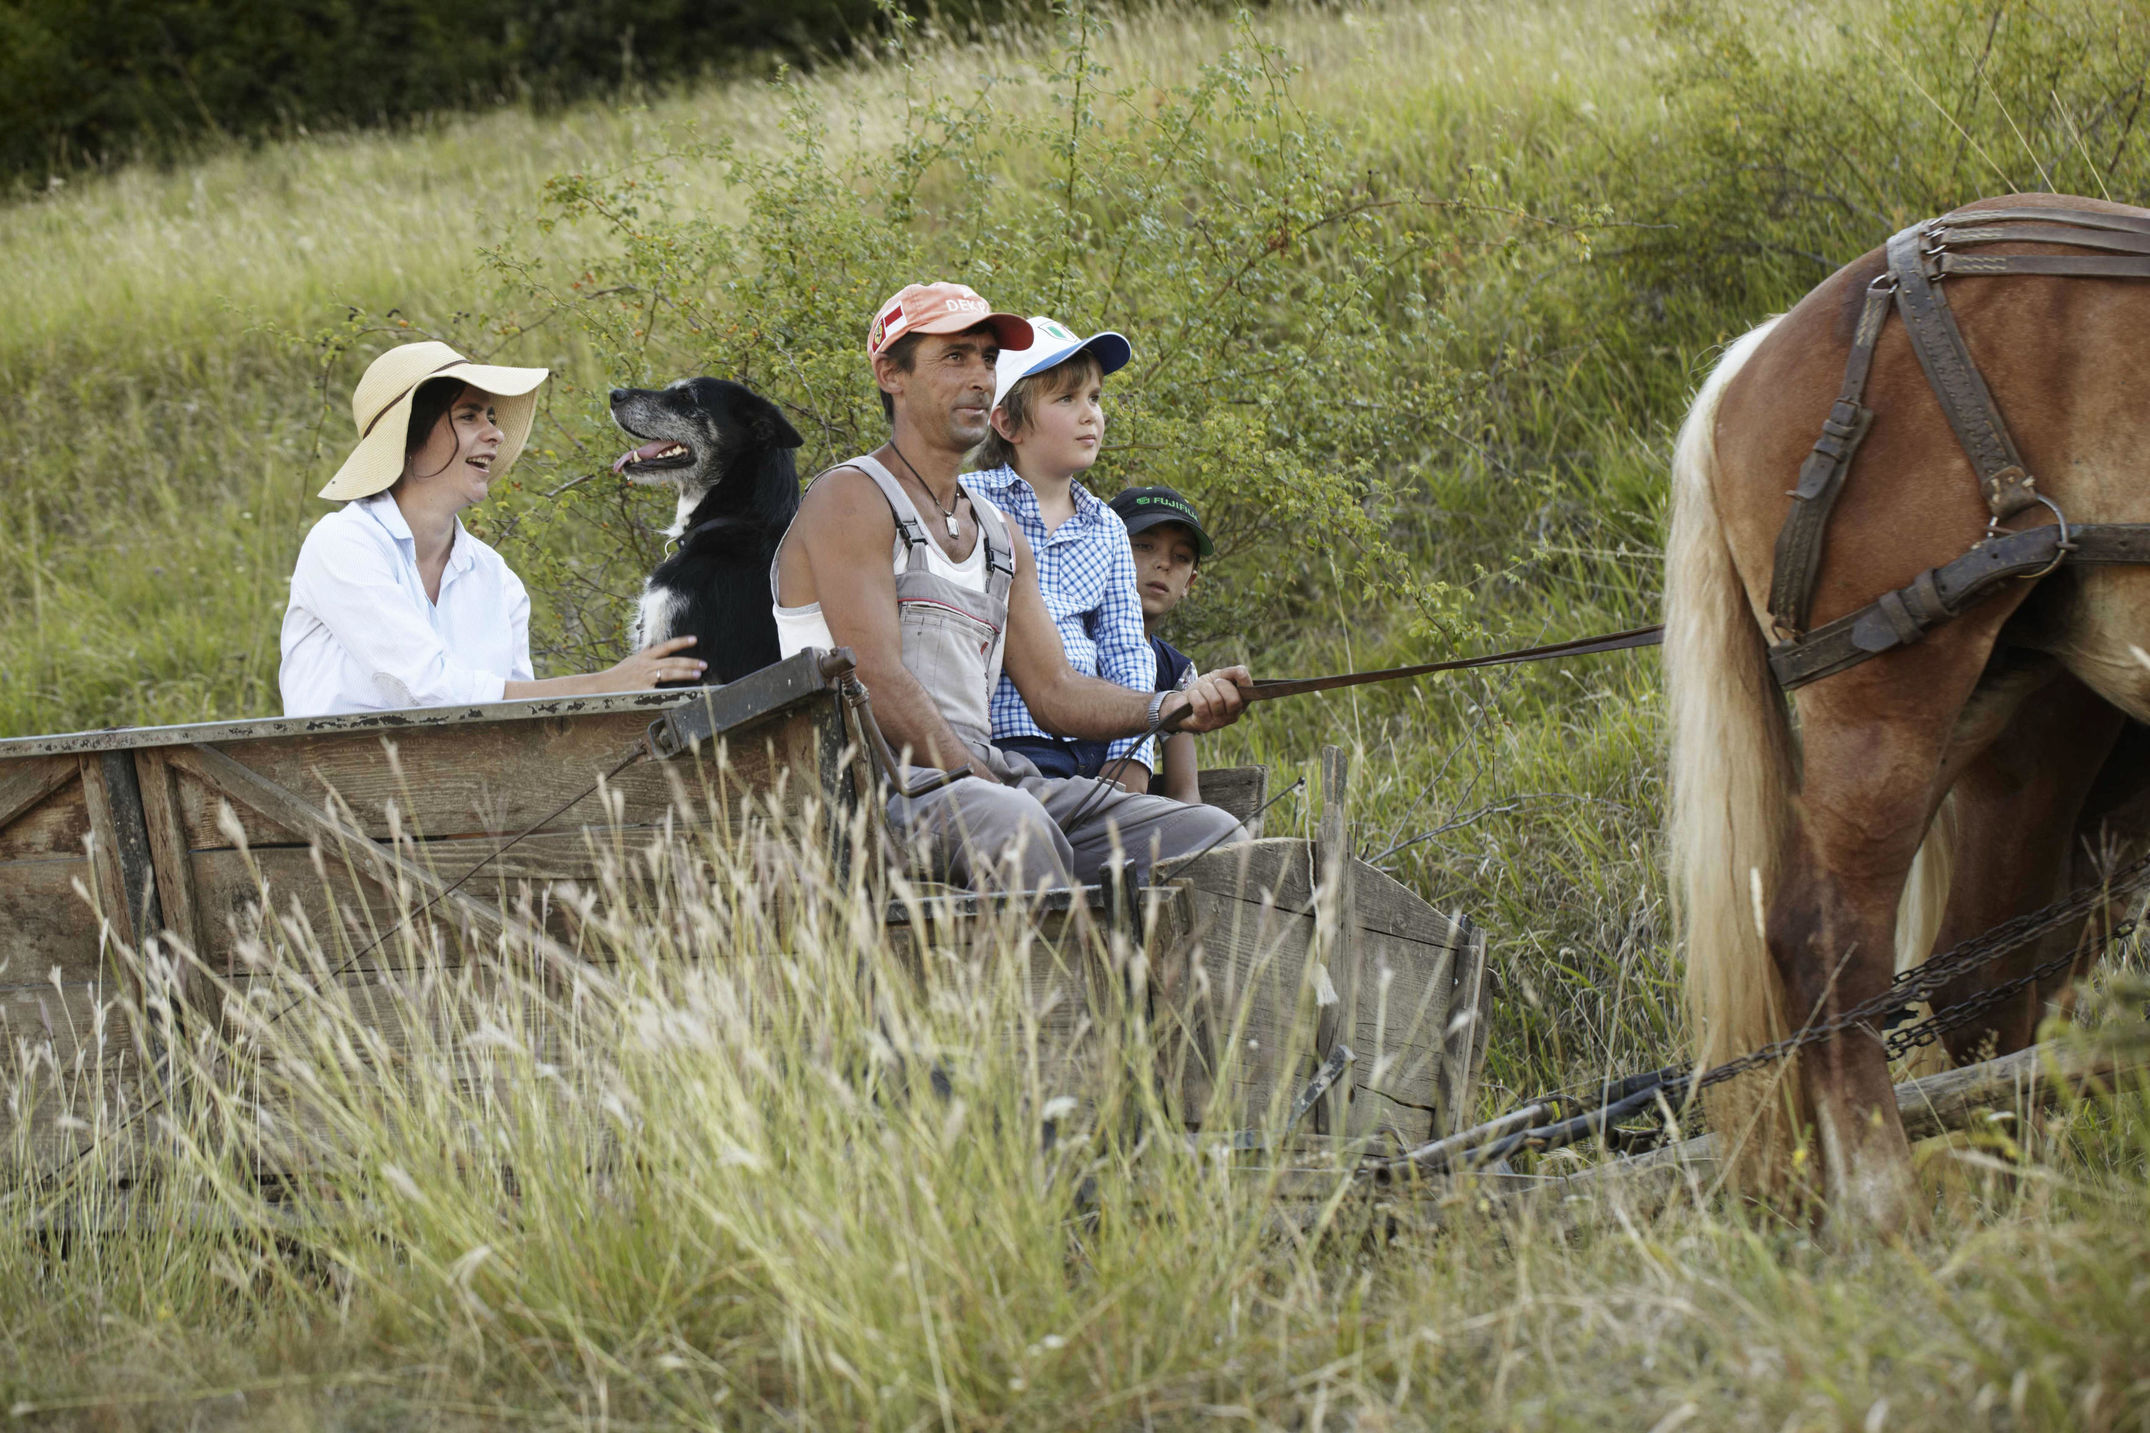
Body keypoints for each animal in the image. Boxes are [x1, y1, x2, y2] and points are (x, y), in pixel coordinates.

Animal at [1668, 193, 2150, 1237]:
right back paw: (1887, 1213)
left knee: (1991, 973)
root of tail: (1760, 352)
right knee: (1828, 938)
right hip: (1893, 692)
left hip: (2011, 710)